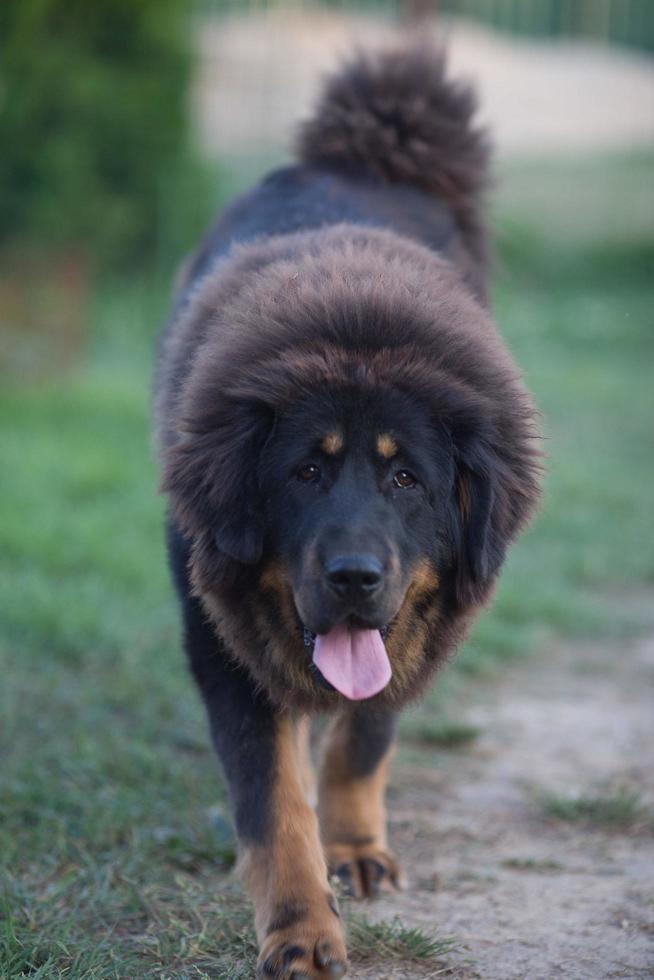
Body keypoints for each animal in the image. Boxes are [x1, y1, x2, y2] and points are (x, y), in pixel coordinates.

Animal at [155, 44, 544, 980]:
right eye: (304, 471)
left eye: (406, 479)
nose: (356, 575)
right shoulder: (219, 632)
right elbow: (270, 800)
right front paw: (300, 927)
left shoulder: (421, 623)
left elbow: (366, 734)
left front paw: (355, 847)